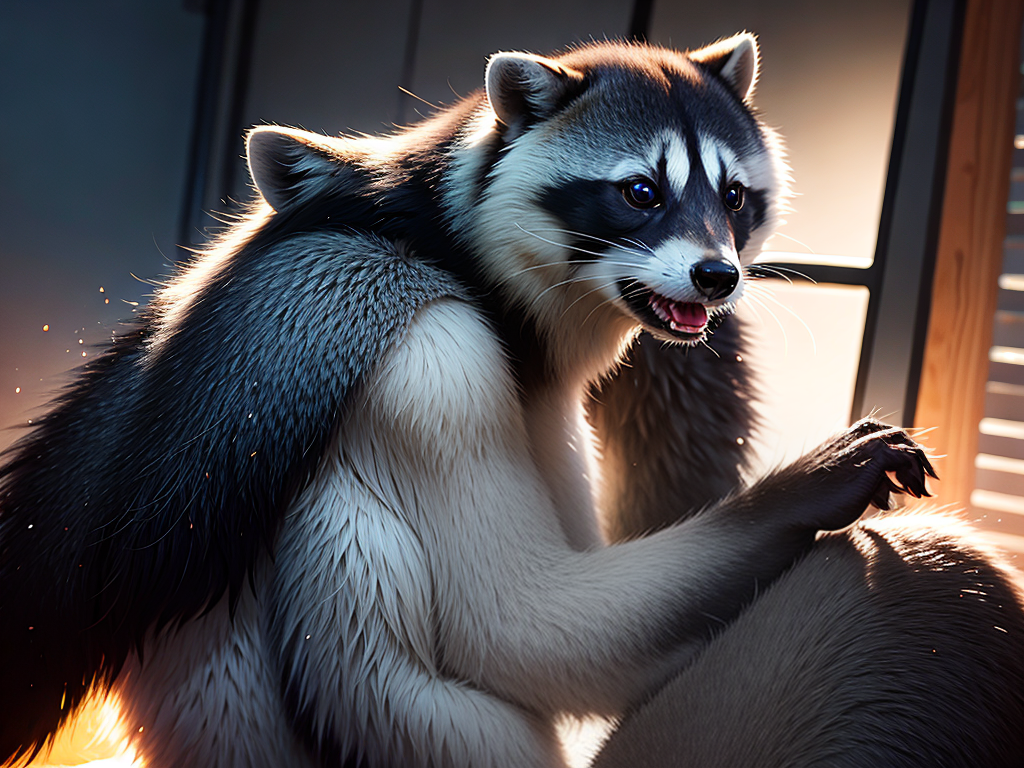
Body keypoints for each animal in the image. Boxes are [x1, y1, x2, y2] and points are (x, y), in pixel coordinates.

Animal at [2, 34, 1007, 768]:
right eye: (639, 192)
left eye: (732, 196)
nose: (719, 279)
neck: (457, 252)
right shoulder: (424, 362)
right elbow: (530, 625)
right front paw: (801, 488)